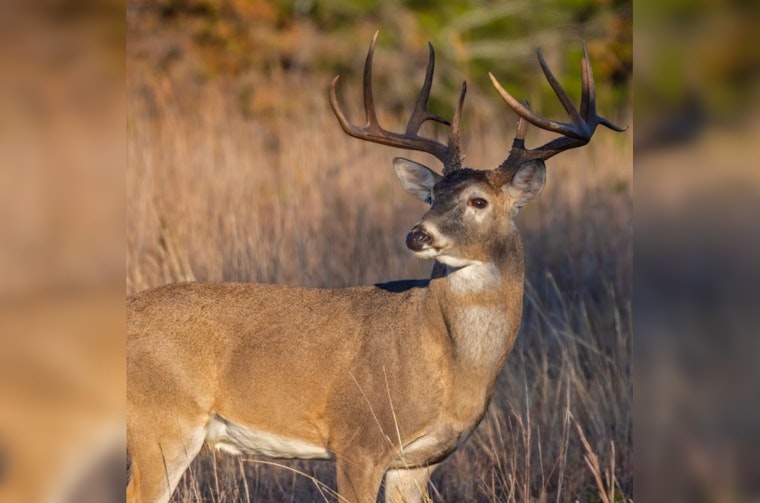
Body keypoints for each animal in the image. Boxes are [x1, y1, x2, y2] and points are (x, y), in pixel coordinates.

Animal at [127, 32, 625, 503]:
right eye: (432, 195)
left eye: (478, 201)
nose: (417, 234)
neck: (446, 359)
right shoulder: (359, 439)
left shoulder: (419, 460)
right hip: (162, 422)